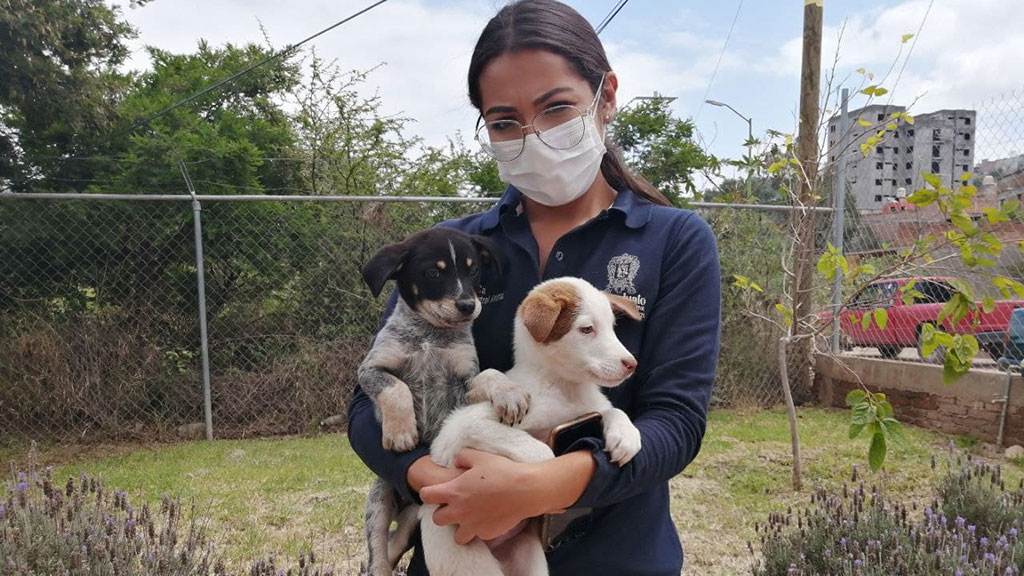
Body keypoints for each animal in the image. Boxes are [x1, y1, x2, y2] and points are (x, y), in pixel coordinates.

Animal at [360, 226, 503, 573]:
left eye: (473, 270)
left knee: (395, 544)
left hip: (416, 517)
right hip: (379, 498)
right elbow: (395, 388)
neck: (429, 335)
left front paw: (509, 392)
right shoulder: (370, 369)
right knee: (377, 550)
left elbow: (488, 376)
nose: (467, 305)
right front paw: (400, 433)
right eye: (433, 273)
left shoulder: (465, 379)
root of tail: (404, 505)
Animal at [415, 276, 638, 569]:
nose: (631, 364)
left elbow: (614, 411)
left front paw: (627, 437)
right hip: (469, 559)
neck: (564, 387)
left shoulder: (591, 409)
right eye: (587, 329)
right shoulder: (466, 425)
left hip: (529, 558)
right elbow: (542, 452)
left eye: (612, 327)